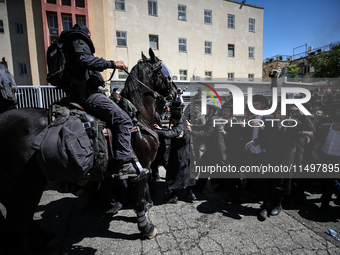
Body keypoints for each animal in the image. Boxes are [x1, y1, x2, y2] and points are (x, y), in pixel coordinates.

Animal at [0, 48, 178, 254]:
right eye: (165, 72)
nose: (176, 91)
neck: (139, 117)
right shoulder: (143, 167)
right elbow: (140, 198)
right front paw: (145, 227)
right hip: (28, 185)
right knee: (17, 225)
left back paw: (47, 237)